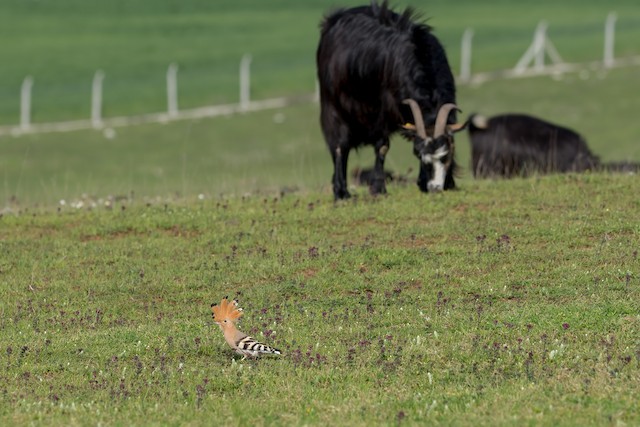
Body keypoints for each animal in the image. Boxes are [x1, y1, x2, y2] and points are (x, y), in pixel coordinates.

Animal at [316, 1, 462, 201]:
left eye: (445, 156)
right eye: (420, 157)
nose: (435, 188)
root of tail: (331, 22)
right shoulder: (381, 110)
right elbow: (382, 146)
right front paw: (379, 189)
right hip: (332, 105)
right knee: (339, 146)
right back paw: (341, 193)